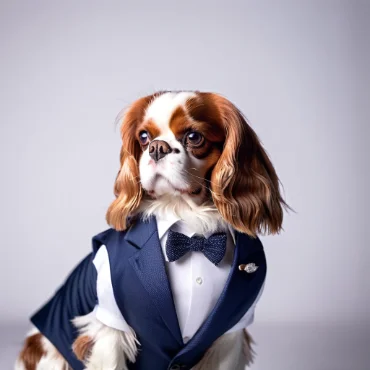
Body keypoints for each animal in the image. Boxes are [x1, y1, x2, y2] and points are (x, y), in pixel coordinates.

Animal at [15, 90, 286, 370]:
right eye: (144, 137)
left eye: (194, 137)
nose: (157, 147)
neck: (189, 225)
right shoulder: (110, 326)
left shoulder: (230, 332)